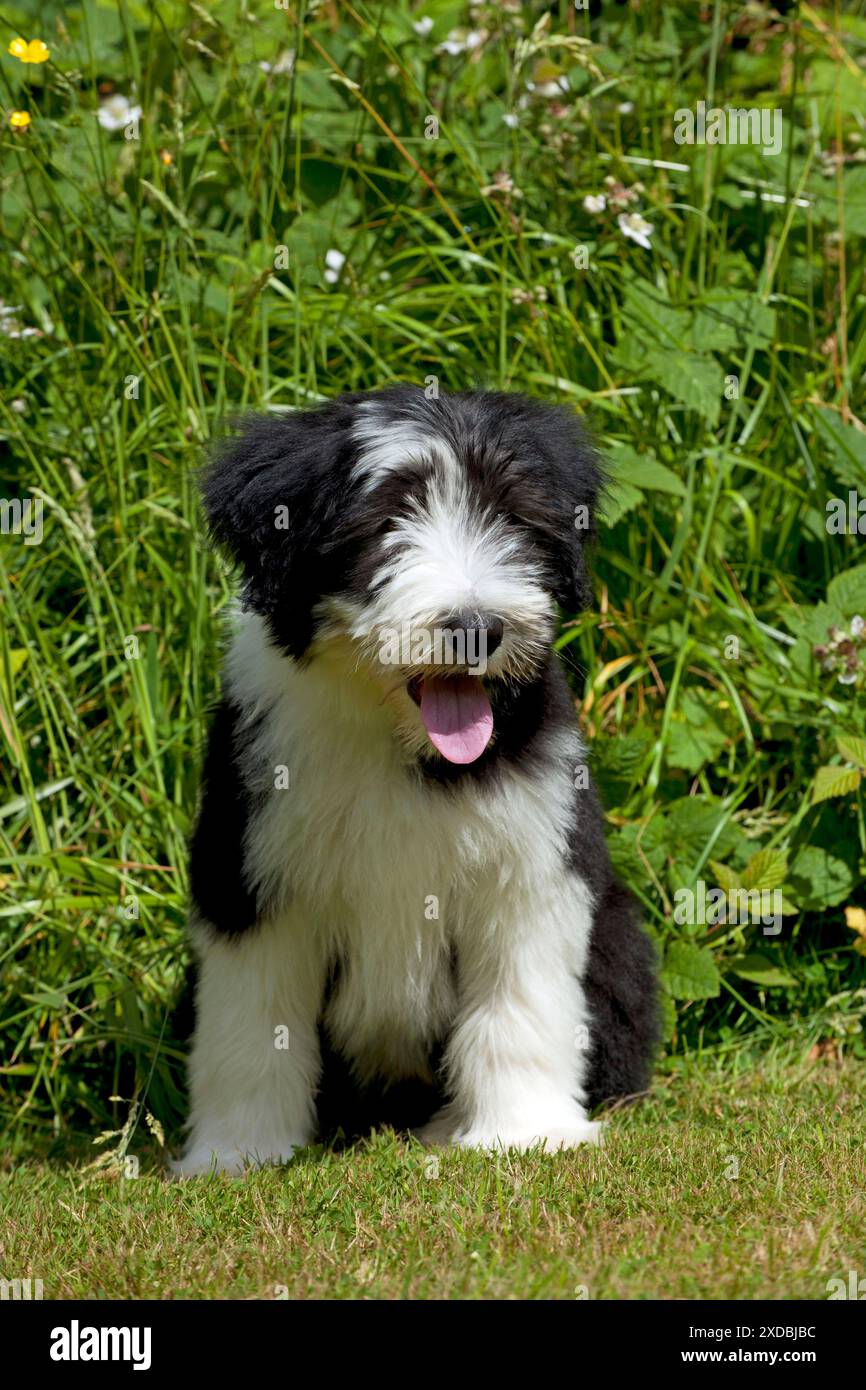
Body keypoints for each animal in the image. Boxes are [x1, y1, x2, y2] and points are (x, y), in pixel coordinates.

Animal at [174, 389, 656, 1173]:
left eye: (511, 516)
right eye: (384, 524)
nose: (475, 627)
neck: (399, 738)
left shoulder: (530, 860)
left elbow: (519, 1004)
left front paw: (525, 1131)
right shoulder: (250, 871)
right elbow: (251, 1023)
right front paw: (236, 1154)